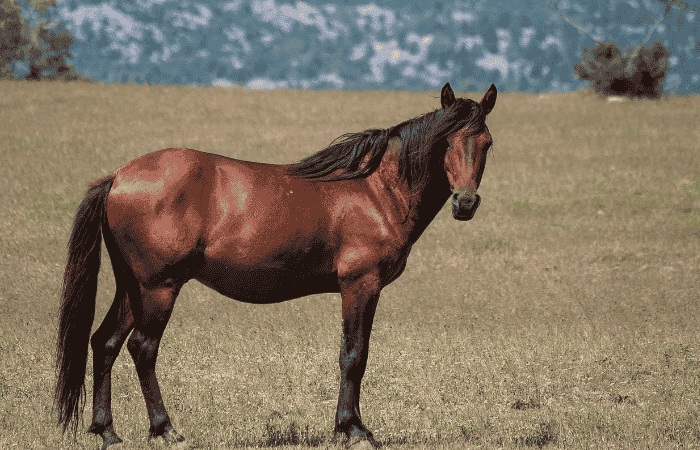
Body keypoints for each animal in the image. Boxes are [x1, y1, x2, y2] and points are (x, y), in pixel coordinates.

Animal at [55, 82, 497, 449]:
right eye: (445, 141)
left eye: (487, 142)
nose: (465, 203)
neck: (376, 189)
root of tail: (118, 176)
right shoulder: (360, 285)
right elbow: (354, 355)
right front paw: (353, 429)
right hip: (158, 287)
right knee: (142, 348)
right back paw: (166, 430)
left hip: (132, 287)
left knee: (105, 343)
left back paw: (108, 432)